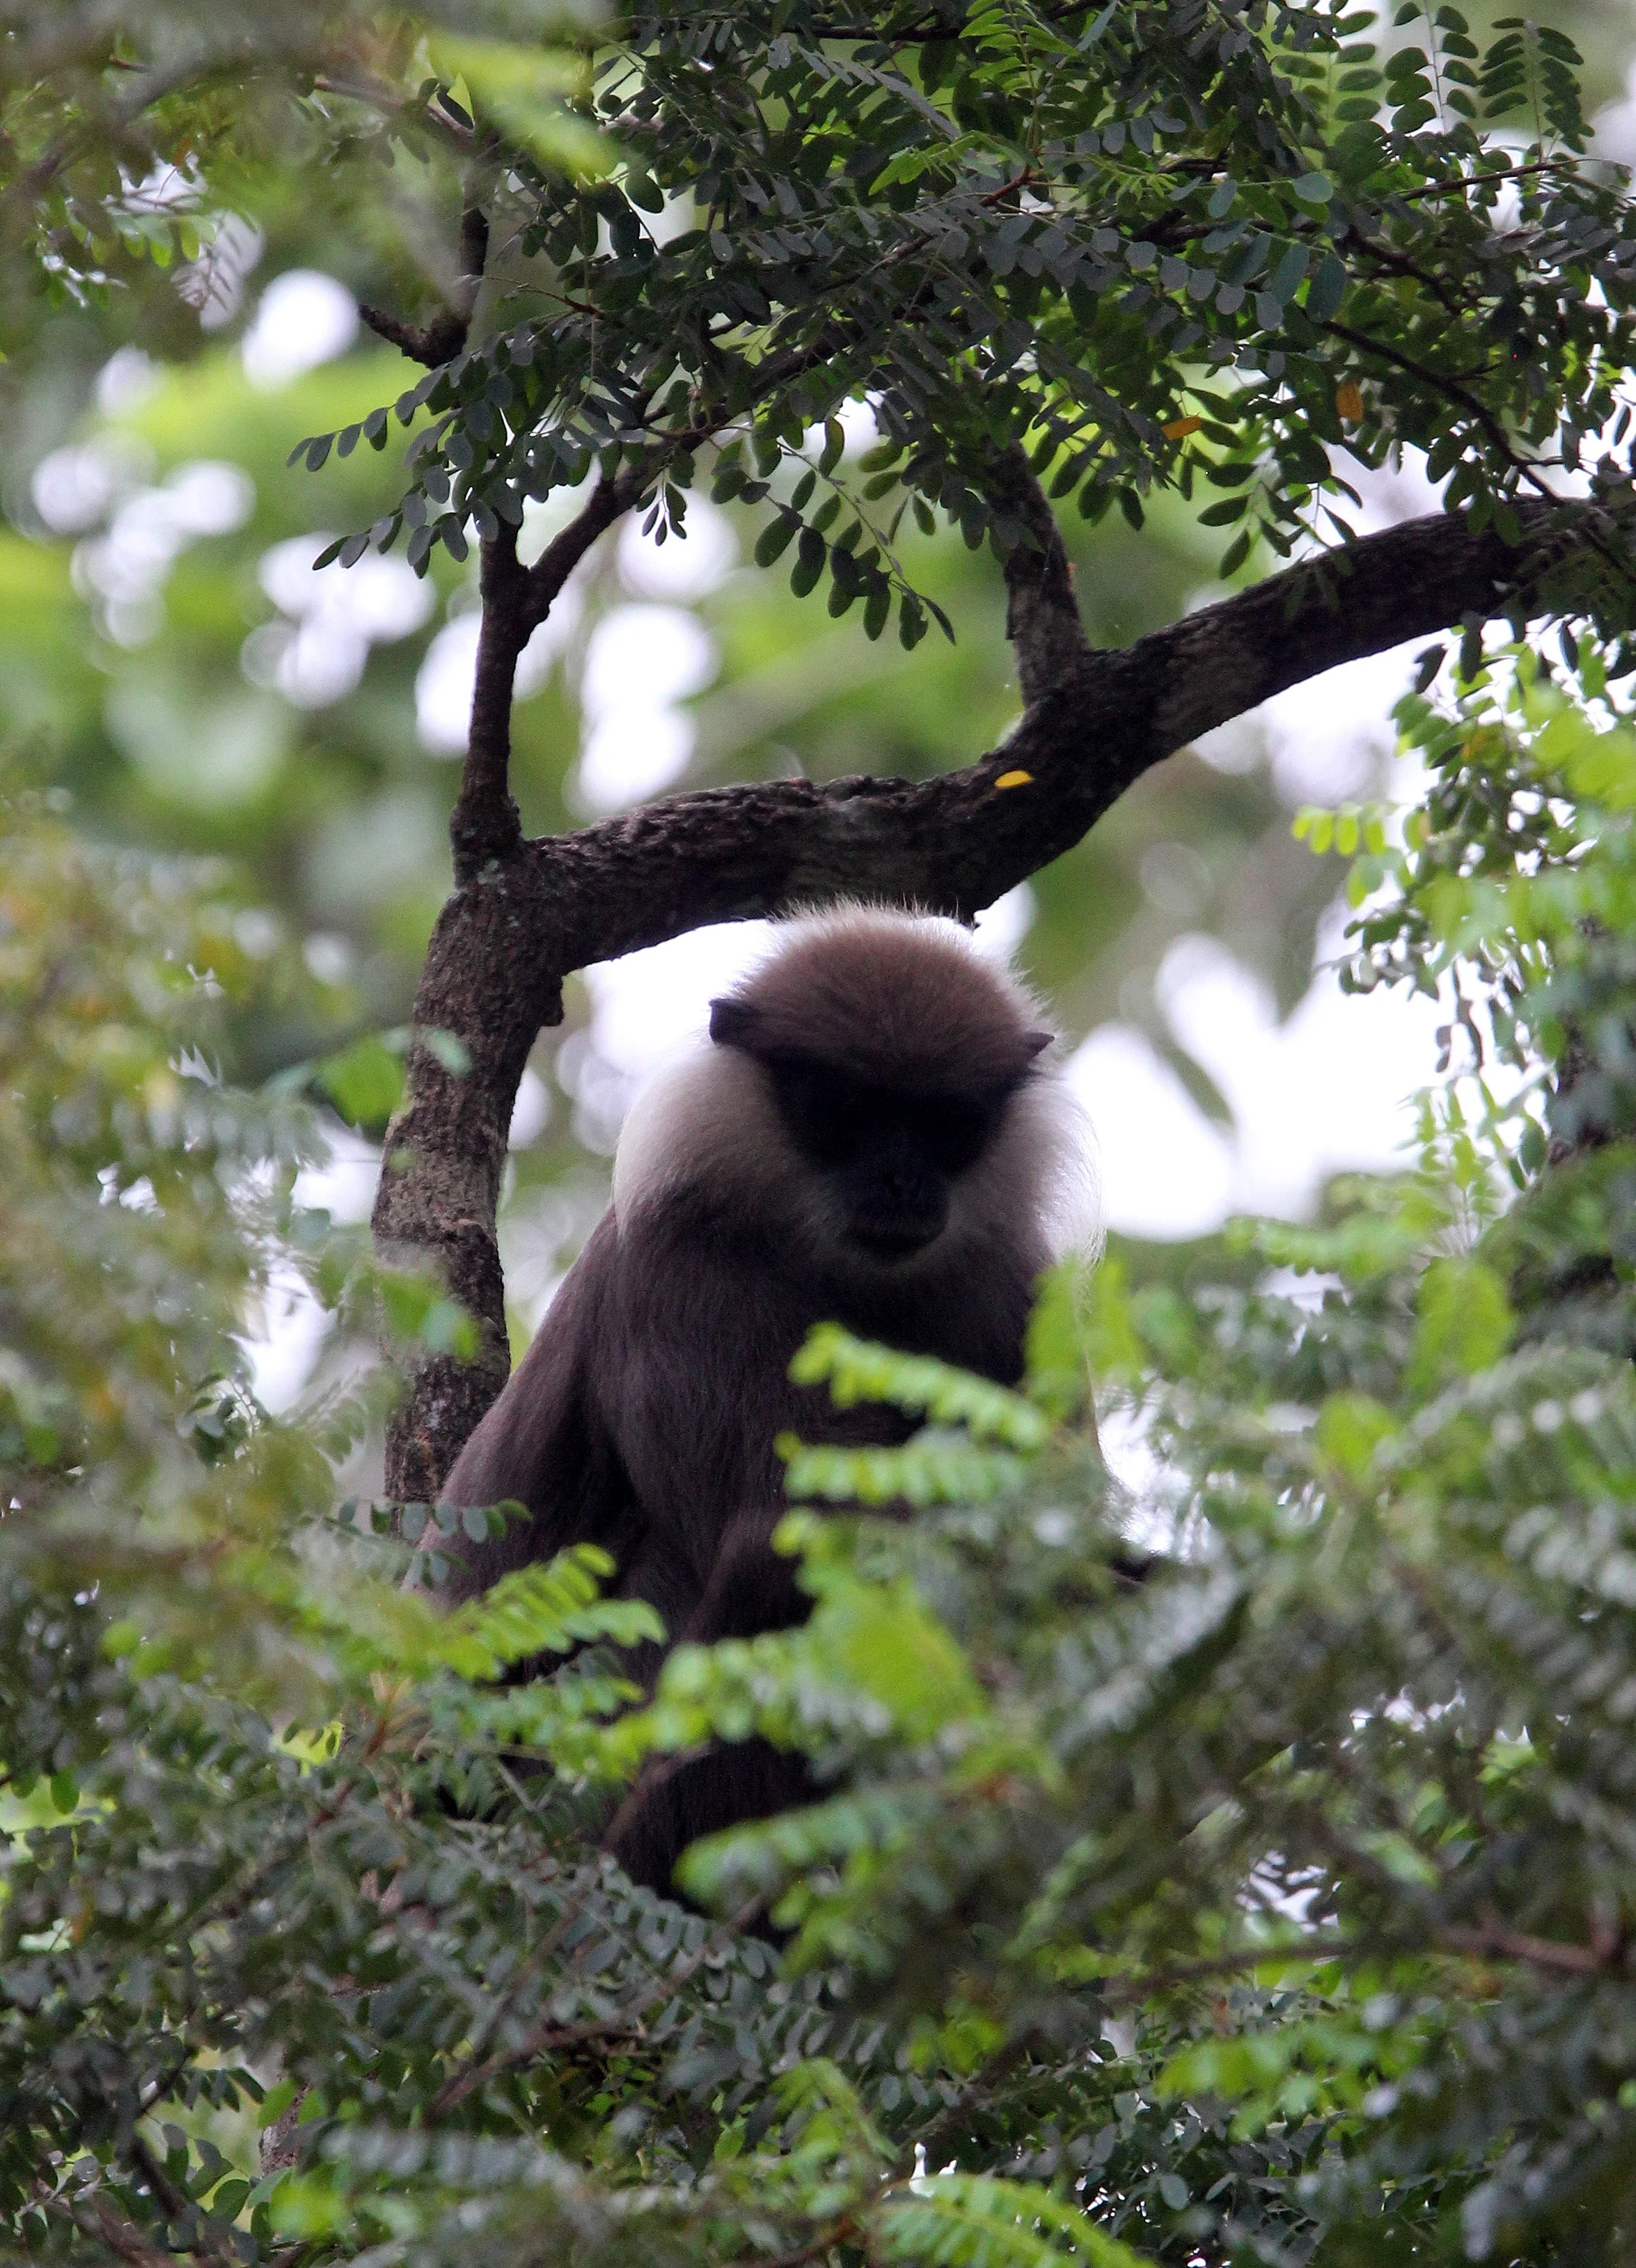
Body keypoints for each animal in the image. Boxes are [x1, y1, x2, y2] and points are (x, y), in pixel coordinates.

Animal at [439, 906, 1093, 1896]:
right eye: (844, 1112)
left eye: (943, 1123)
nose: (900, 1182)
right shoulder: (682, 1268)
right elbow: (788, 1531)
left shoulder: (1012, 1290)